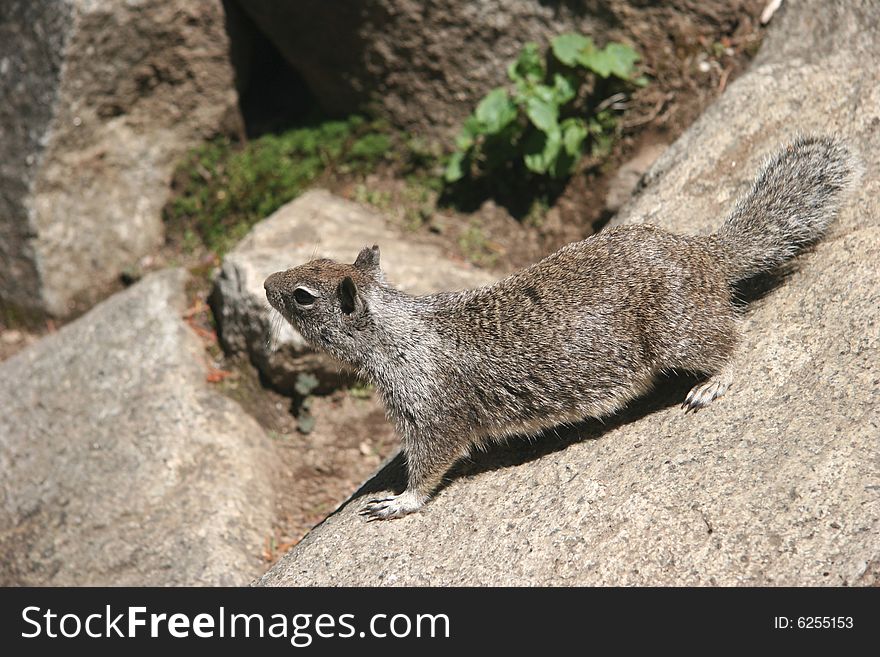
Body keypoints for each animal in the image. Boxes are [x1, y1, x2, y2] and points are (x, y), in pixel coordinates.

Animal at [262, 136, 860, 520]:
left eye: (302, 296)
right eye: (310, 260)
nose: (267, 283)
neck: (396, 332)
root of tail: (705, 256)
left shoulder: (431, 413)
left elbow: (430, 465)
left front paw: (400, 502)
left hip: (678, 332)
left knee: (732, 342)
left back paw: (713, 382)